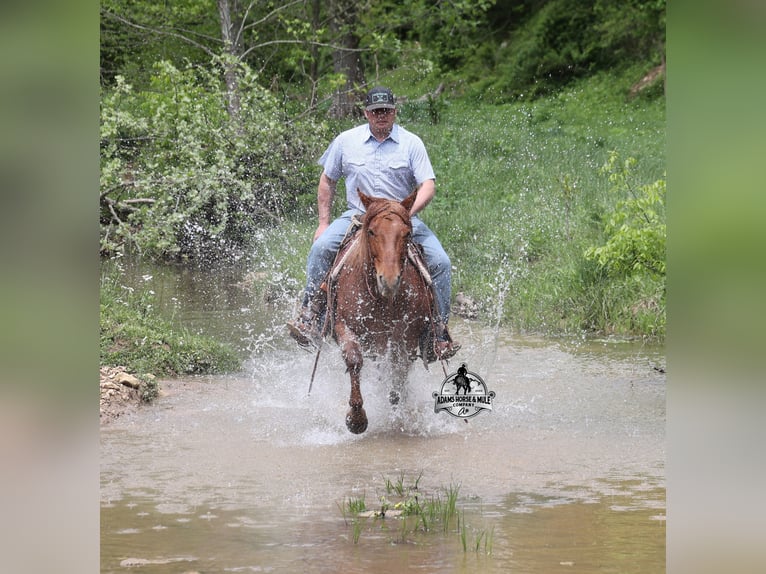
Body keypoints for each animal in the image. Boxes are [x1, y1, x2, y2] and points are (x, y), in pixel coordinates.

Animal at [328, 189, 436, 434]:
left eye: (406, 233)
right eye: (371, 231)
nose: (389, 280)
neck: (381, 299)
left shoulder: (406, 337)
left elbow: (398, 373)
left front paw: (397, 412)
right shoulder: (343, 325)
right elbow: (354, 360)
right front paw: (356, 419)